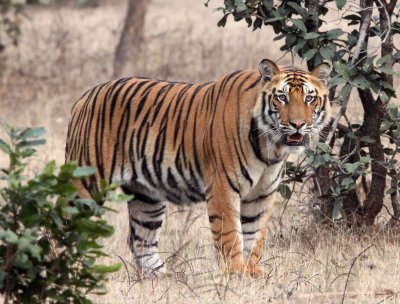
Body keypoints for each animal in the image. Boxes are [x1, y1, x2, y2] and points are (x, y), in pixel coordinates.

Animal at [65, 58, 332, 278]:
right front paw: (236, 273)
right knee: (65, 227)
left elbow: (254, 235)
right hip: (87, 185)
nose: (298, 124)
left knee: (141, 241)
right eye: (282, 97)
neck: (270, 147)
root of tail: (84, 97)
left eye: (309, 98)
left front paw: (252, 272)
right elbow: (231, 235)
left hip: (147, 198)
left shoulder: (262, 193)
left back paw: (164, 279)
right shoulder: (223, 188)